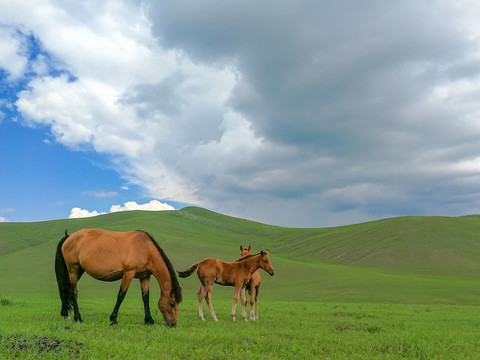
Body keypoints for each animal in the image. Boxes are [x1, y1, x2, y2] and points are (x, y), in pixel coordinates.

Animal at [54, 229, 182, 328]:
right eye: (172, 303)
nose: (173, 324)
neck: (145, 249)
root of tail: (69, 236)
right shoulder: (129, 273)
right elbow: (121, 295)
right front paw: (113, 319)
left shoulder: (145, 276)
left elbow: (145, 297)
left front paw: (149, 320)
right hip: (73, 270)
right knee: (73, 293)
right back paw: (78, 318)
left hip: (78, 271)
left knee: (67, 290)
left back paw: (66, 315)